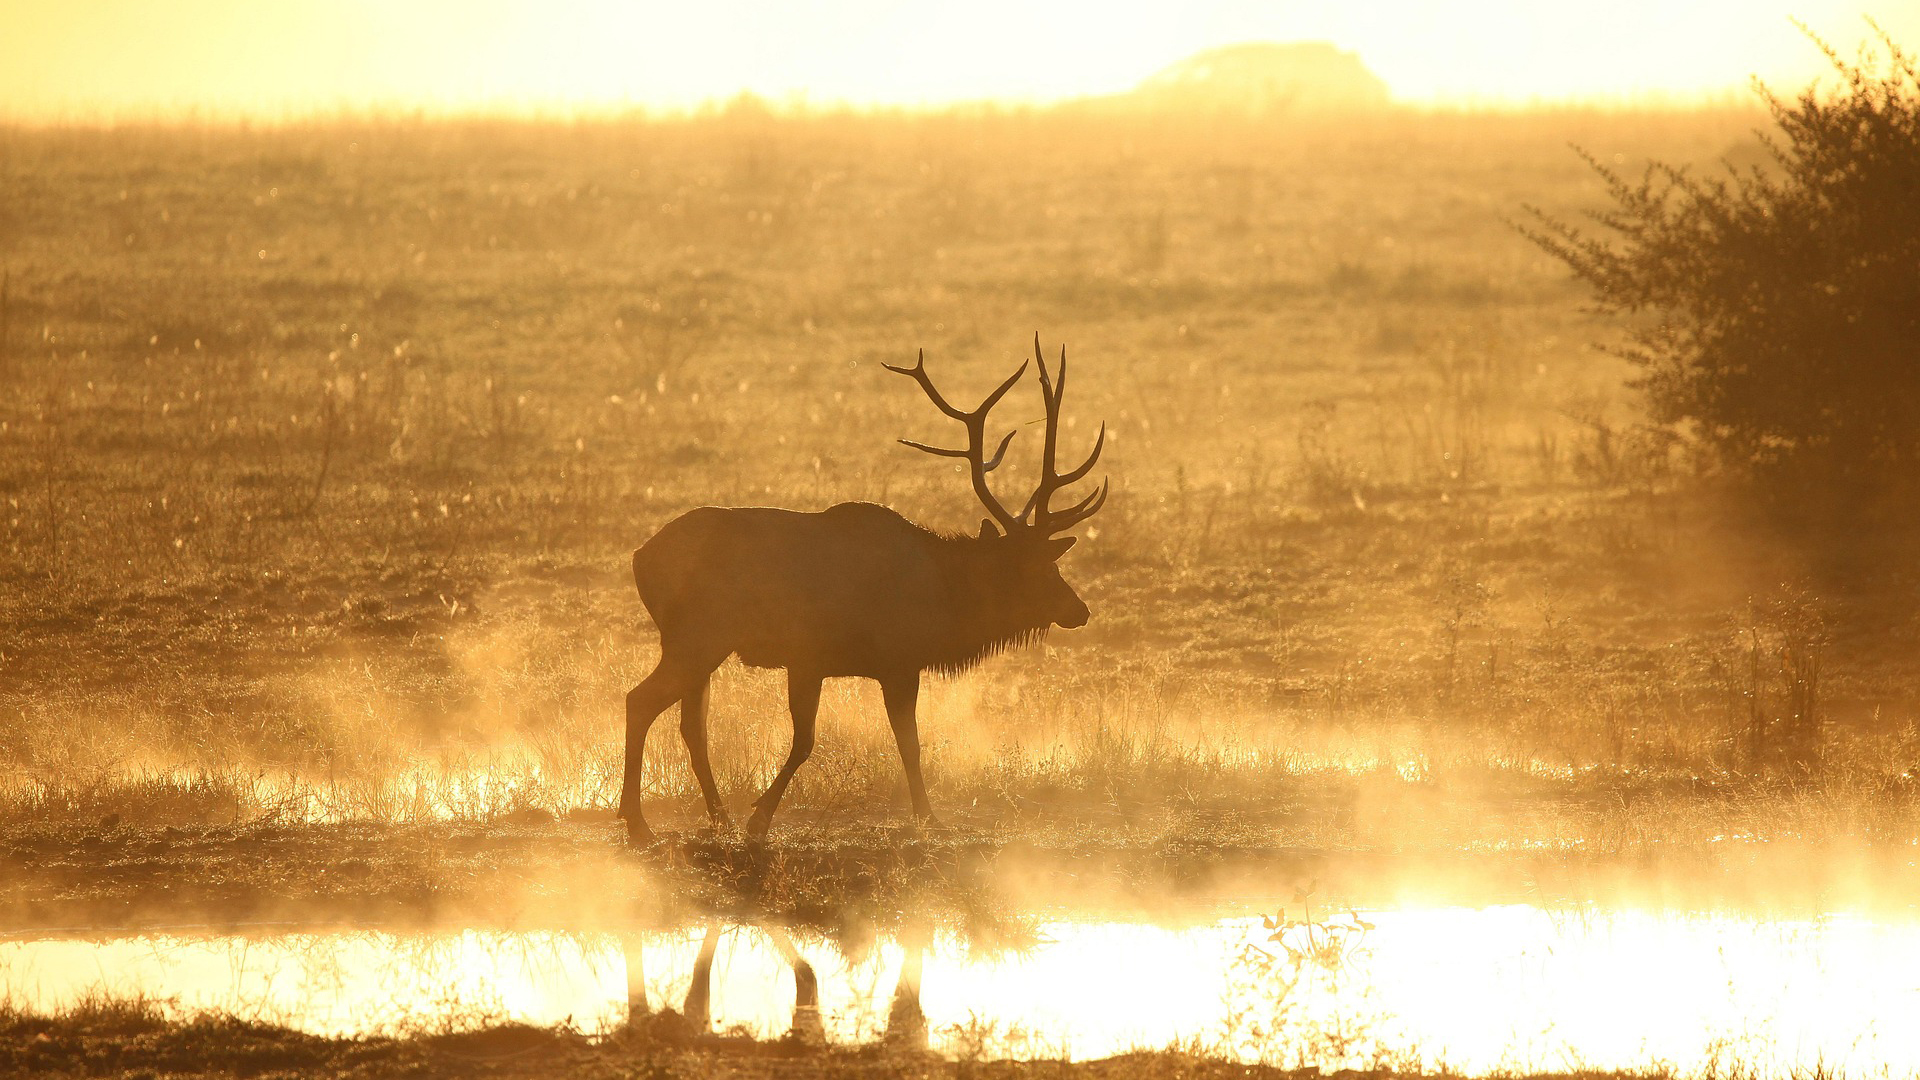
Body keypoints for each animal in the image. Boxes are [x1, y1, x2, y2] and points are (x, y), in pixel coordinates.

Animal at [617, 333, 1107, 845]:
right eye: (1039, 569)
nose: (1080, 609)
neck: (942, 601)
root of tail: (640, 558)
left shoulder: (845, 664)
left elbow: (876, 742)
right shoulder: (870, 659)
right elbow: (859, 743)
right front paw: (764, 817)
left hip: (703, 646)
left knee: (691, 724)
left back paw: (717, 817)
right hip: (696, 637)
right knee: (640, 701)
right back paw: (638, 821)